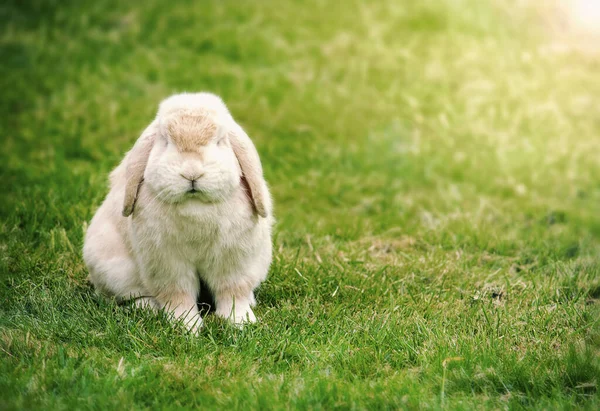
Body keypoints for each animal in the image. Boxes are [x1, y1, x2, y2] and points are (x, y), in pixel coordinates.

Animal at [82, 91, 274, 334]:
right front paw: (187, 326)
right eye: (165, 141)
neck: (196, 206)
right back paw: (148, 308)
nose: (191, 173)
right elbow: (177, 294)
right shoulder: (167, 263)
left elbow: (232, 291)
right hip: (114, 270)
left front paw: (239, 322)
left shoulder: (233, 260)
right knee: (131, 295)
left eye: (220, 141)